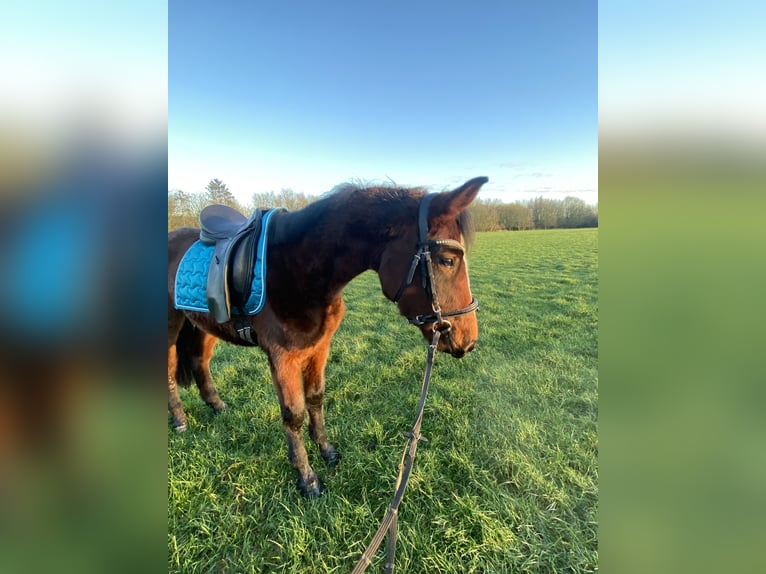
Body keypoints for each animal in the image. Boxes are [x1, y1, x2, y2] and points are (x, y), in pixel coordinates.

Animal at [171, 178, 488, 498]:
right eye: (447, 260)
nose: (468, 340)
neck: (298, 269)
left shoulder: (319, 347)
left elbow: (316, 398)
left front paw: (326, 451)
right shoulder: (282, 357)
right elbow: (294, 414)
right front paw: (307, 477)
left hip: (204, 324)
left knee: (199, 361)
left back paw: (218, 407)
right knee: (171, 372)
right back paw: (180, 421)